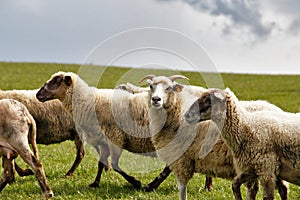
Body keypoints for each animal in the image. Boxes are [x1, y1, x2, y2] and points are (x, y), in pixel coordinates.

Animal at [35, 70, 175, 191]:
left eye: (56, 81)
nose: (38, 94)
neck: (91, 102)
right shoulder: (104, 142)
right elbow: (101, 163)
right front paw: (95, 183)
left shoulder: (115, 138)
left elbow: (114, 164)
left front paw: (135, 182)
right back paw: (153, 185)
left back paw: (151, 186)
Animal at [138, 74, 288, 200]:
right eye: (151, 86)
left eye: (169, 88)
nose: (156, 100)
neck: (178, 117)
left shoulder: (181, 159)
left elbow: (179, 186)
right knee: (283, 188)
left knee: (255, 188)